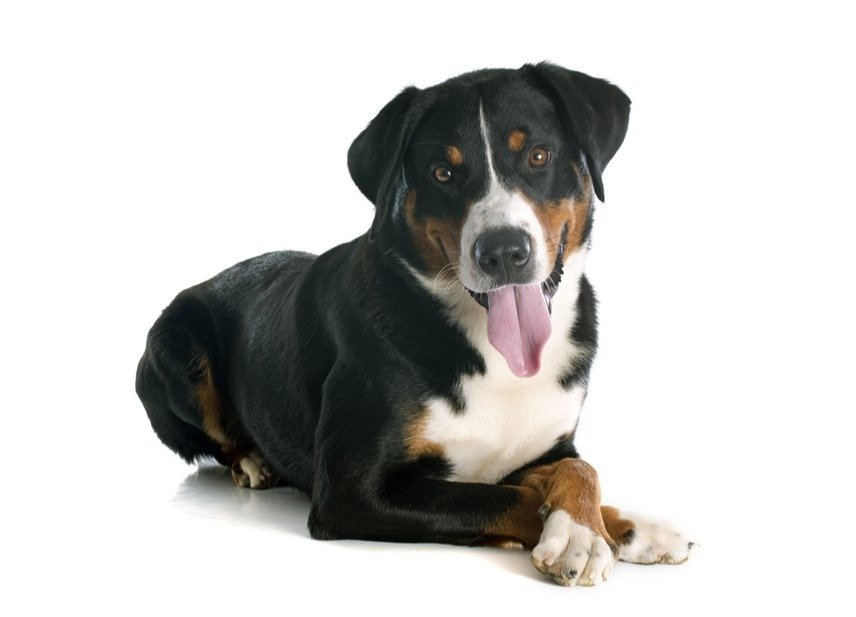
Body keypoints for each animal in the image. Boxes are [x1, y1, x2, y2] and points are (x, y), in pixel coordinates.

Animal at [135, 63, 696, 588]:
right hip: (175, 351)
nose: (503, 251)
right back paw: (254, 460)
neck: (493, 355)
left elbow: (579, 468)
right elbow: (500, 497)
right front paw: (578, 538)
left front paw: (624, 526)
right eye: (442, 172)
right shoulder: (352, 492)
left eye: (539, 156)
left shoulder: (550, 444)